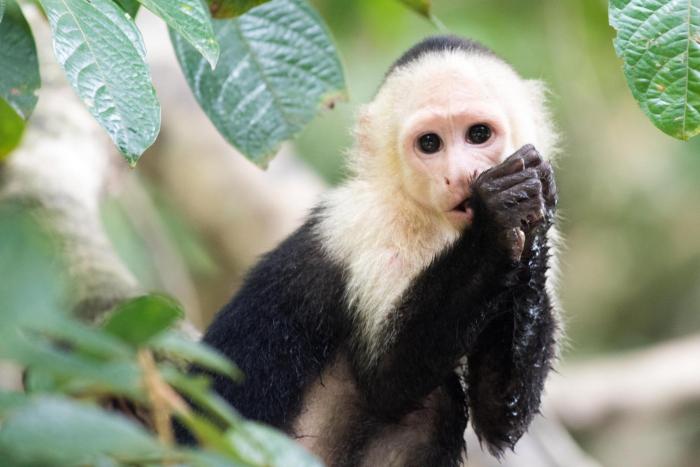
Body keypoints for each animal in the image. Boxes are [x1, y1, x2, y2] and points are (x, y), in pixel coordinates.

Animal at [191, 35, 561, 467]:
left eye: (479, 134)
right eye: (430, 143)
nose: (458, 176)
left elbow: (498, 414)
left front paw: (535, 217)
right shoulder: (375, 227)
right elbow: (385, 380)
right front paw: (496, 218)